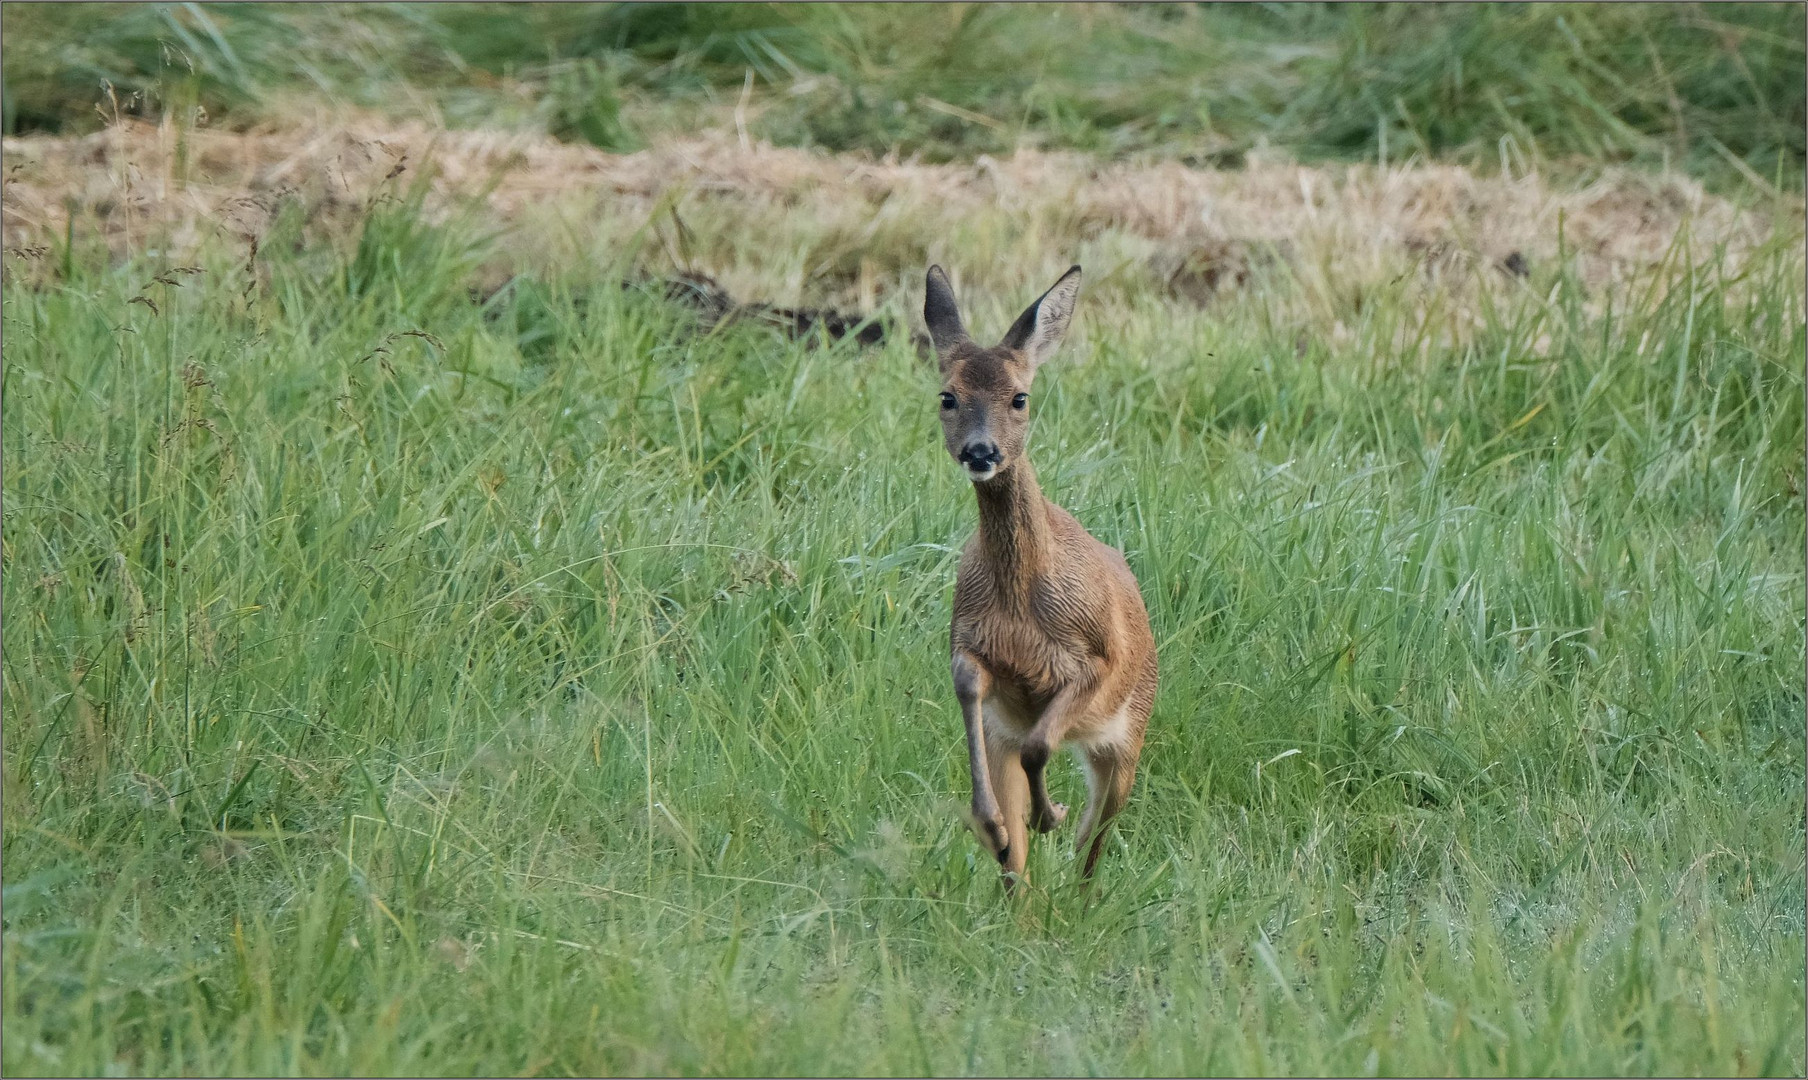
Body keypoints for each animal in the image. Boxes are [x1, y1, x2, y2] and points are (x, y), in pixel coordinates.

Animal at [925, 264, 1164, 882]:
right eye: (948, 396)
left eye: (1020, 397)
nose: (980, 452)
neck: (1020, 606)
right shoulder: (971, 648)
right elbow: (968, 688)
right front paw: (994, 825)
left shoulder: (1096, 660)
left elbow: (1041, 749)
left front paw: (1049, 813)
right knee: (1023, 870)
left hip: (1127, 736)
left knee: (1095, 840)